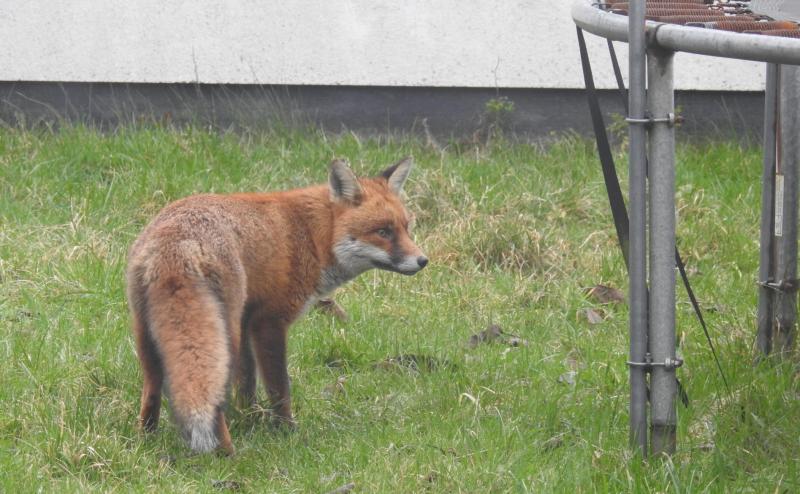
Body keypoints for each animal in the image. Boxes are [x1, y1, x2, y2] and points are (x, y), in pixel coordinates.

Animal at [126, 157, 427, 454]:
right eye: (383, 232)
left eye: (406, 228)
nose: (423, 260)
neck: (312, 235)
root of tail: (177, 244)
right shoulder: (269, 321)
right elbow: (279, 386)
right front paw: (286, 430)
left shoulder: (247, 320)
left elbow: (246, 382)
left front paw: (250, 418)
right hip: (223, 333)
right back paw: (226, 453)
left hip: (148, 331)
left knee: (152, 388)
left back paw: (146, 439)